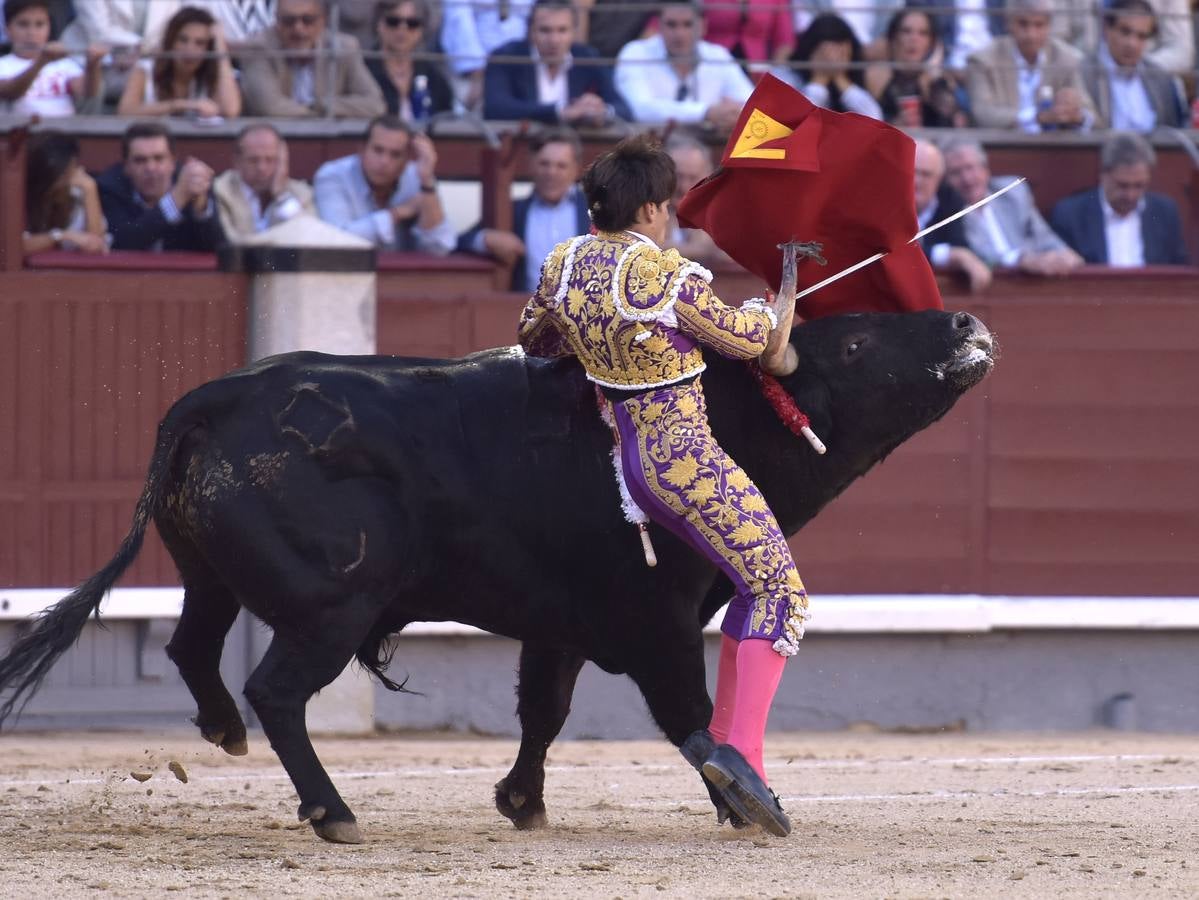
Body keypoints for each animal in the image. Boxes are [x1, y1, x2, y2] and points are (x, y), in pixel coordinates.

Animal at [0, 309, 992, 843]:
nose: (964, 324)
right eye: (855, 348)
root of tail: (214, 398)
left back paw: (221, 734)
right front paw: (744, 802)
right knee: (276, 689)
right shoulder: (657, 623)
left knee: (191, 647)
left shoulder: (559, 623)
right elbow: (692, 717)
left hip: (211, 572)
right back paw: (331, 809)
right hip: (331, 608)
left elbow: (543, 710)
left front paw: (522, 802)